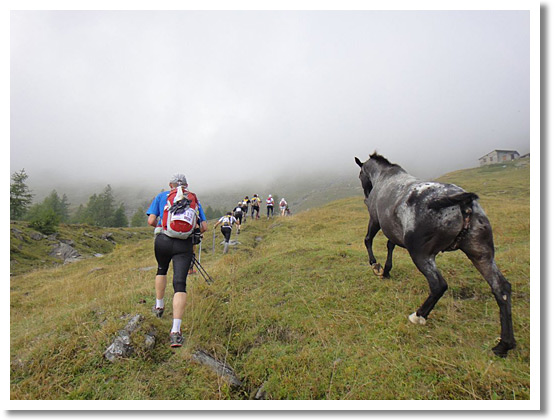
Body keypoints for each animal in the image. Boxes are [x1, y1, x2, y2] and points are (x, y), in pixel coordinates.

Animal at [354, 153, 516, 356]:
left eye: (360, 174)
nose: (366, 197)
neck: (385, 177)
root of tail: (463, 203)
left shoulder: (375, 220)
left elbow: (368, 240)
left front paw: (376, 266)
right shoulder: (393, 231)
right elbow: (390, 246)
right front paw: (387, 270)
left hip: (421, 255)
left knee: (438, 285)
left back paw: (418, 316)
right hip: (481, 255)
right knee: (501, 289)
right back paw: (504, 344)